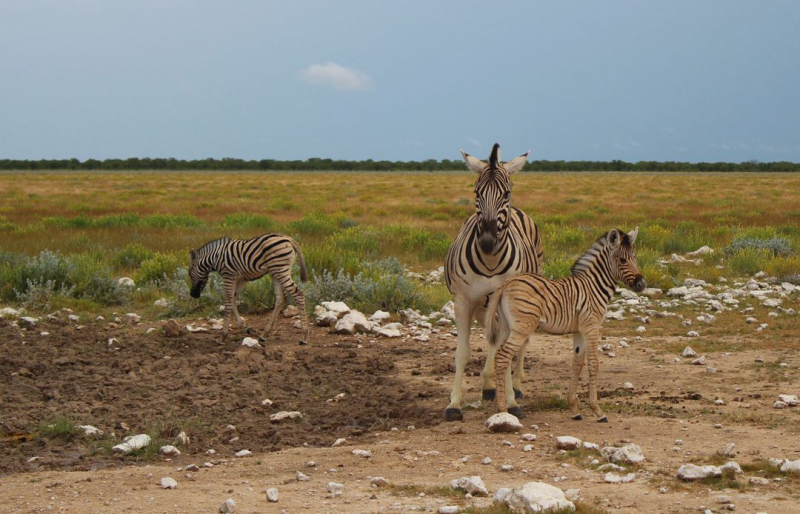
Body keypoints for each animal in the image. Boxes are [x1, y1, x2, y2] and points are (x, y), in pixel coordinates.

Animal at [440, 142, 548, 418]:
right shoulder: (464, 300)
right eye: (476, 192)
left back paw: (516, 385)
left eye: (506, 193)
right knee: (494, 337)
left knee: (517, 341)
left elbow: (506, 350)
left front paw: (510, 402)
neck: (489, 262)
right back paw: (489, 384)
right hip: (485, 306)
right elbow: (463, 352)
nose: (487, 242)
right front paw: (454, 403)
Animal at [484, 226, 648, 418]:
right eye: (622, 260)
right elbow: (594, 364)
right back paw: (503, 409)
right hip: (521, 327)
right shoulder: (591, 327)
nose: (642, 284)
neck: (594, 287)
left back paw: (500, 407)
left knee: (502, 357)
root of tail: (507, 283)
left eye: (635, 257)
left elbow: (577, 364)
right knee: (503, 357)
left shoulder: (579, 330)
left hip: (506, 326)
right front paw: (597, 411)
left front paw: (574, 409)